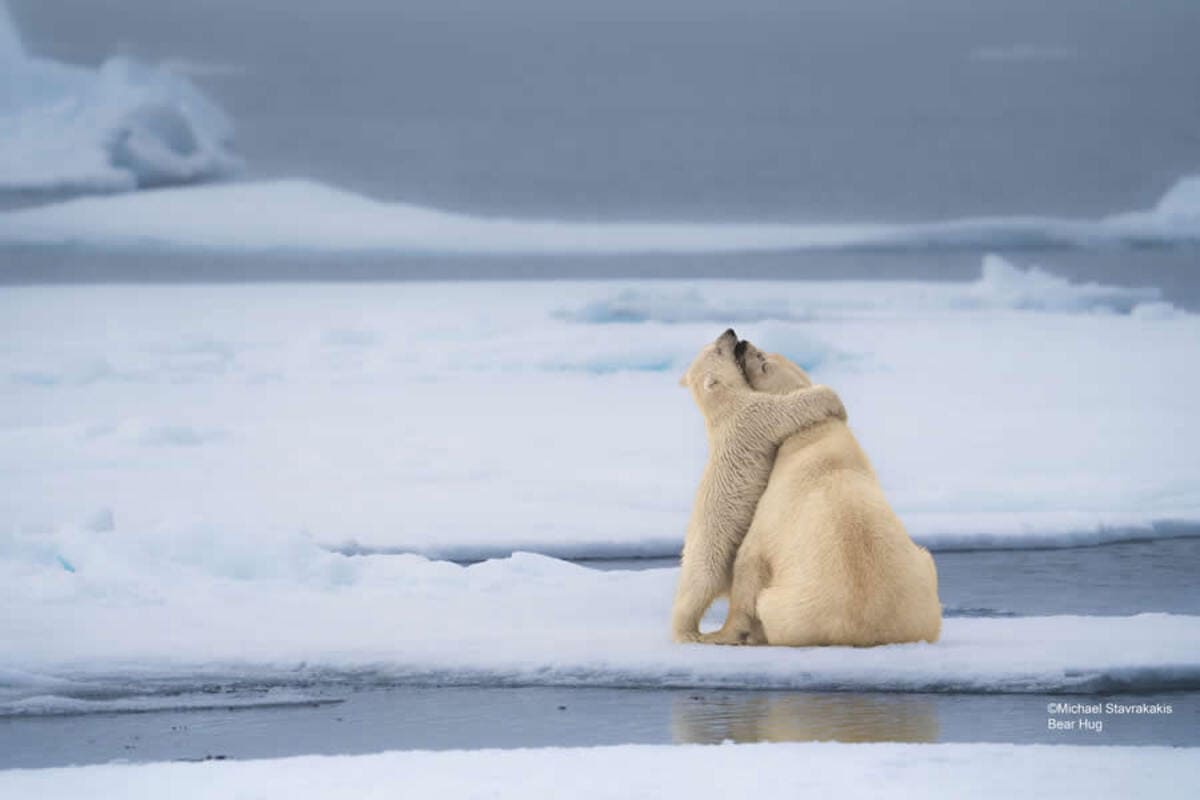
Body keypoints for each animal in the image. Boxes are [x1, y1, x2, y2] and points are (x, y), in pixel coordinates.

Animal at [672, 328, 849, 642]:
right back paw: (689, 633)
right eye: (719, 349)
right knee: (697, 585)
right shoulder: (754, 415)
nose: (730, 332)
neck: (723, 408)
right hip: (708, 547)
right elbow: (787, 409)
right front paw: (833, 399)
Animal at [700, 340, 945, 647]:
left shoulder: (774, 508)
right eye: (765, 352)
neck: (817, 433)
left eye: (763, 360)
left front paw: (719, 634)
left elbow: (750, 558)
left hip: (788, 607)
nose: (743, 343)